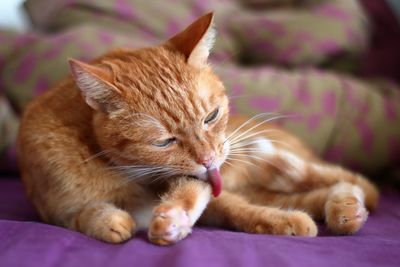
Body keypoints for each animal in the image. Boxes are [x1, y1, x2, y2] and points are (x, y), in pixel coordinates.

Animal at [16, 13, 378, 246]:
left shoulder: (205, 184)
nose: (209, 160)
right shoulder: (54, 210)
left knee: (345, 181)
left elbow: (229, 207)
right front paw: (109, 220)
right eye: (164, 142)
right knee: (321, 191)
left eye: (211, 116)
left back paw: (343, 207)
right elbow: (83, 215)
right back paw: (345, 212)